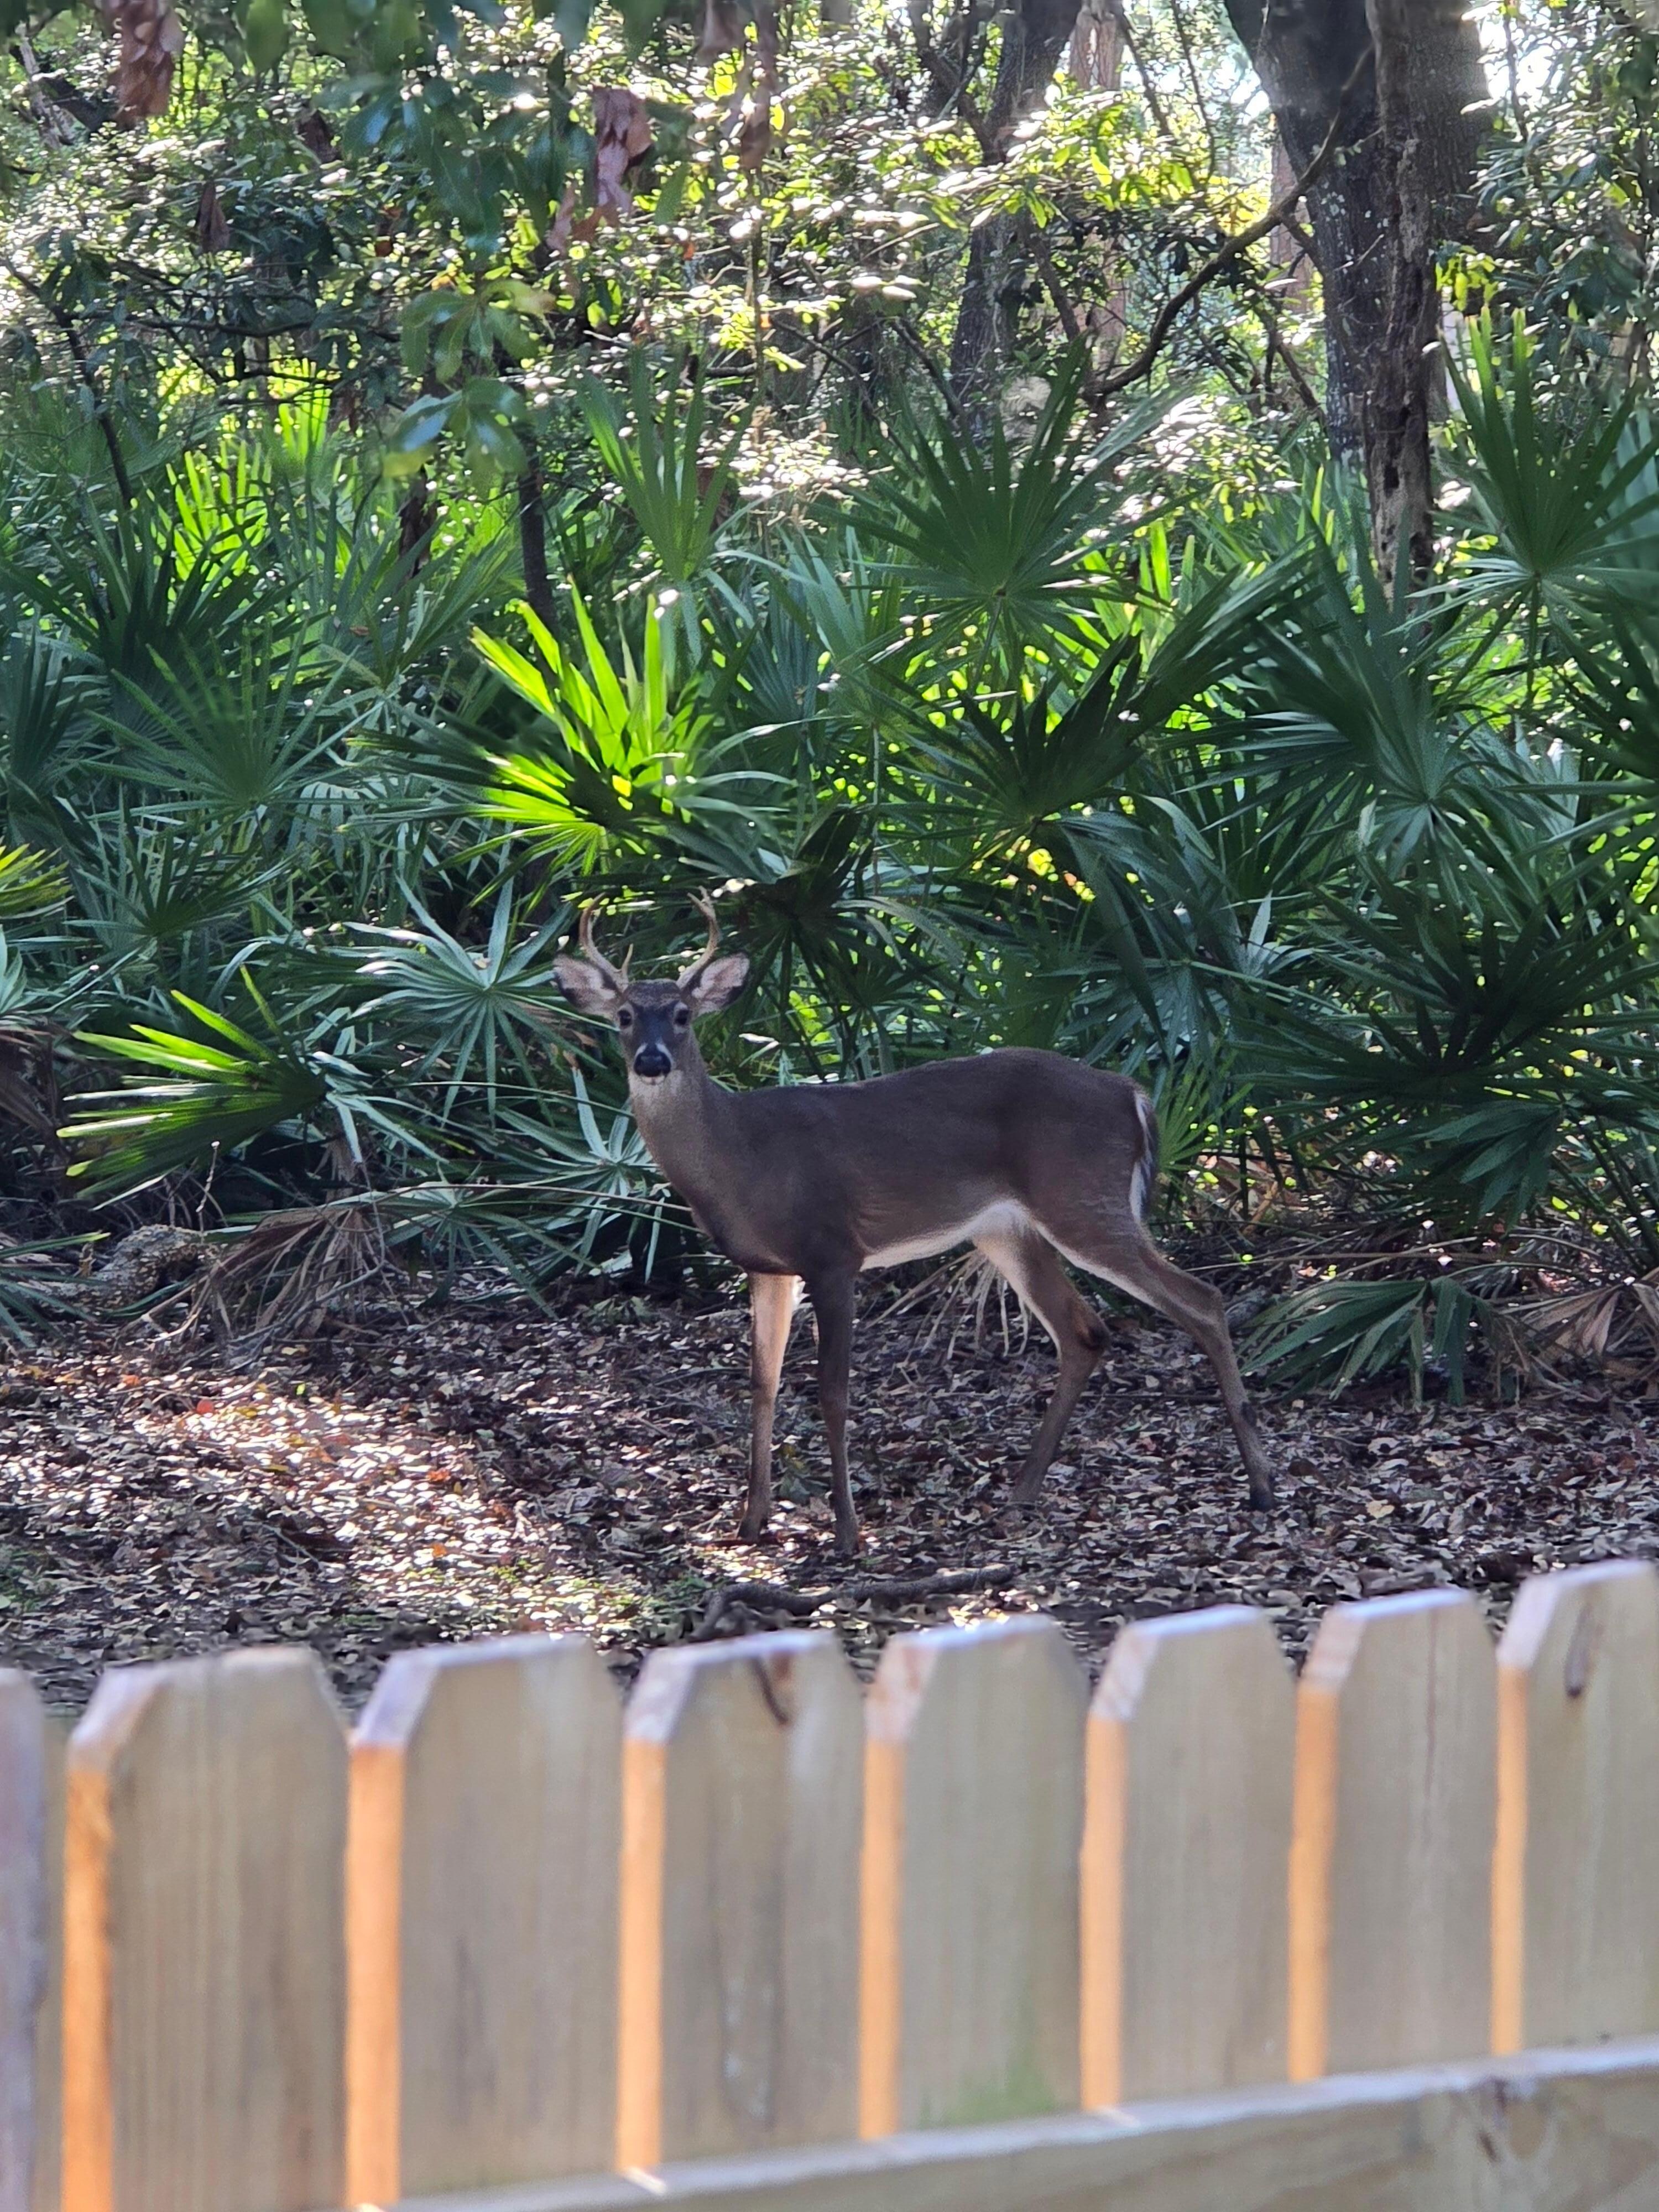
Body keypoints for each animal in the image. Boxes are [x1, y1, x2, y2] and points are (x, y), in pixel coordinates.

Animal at [554, 895, 1275, 1556]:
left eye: (681, 1016)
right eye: (624, 1016)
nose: (652, 1061)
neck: (740, 1157)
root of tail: (1134, 1092)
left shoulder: (833, 1251)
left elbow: (833, 1392)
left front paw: (847, 1534)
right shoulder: (769, 1267)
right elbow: (762, 1384)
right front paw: (751, 1522)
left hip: (1083, 1198)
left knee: (1203, 1298)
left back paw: (1261, 1483)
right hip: (1008, 1229)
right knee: (1085, 1331)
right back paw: (1023, 1490)